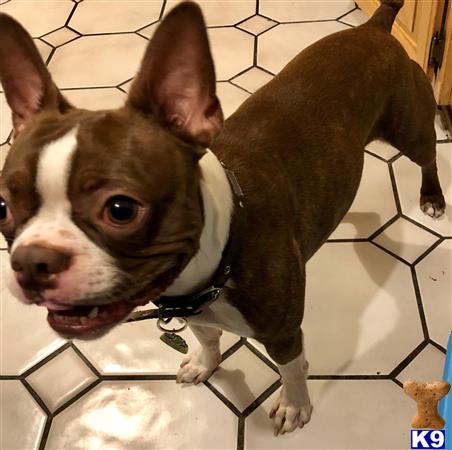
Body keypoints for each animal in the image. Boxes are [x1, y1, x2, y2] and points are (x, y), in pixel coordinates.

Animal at [0, 0, 444, 436]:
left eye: (121, 209)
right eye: (4, 206)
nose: (31, 261)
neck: (221, 250)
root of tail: (374, 27)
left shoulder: (283, 332)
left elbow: (291, 370)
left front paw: (294, 405)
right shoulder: (194, 311)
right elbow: (209, 337)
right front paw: (204, 363)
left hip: (412, 131)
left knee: (429, 156)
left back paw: (432, 198)